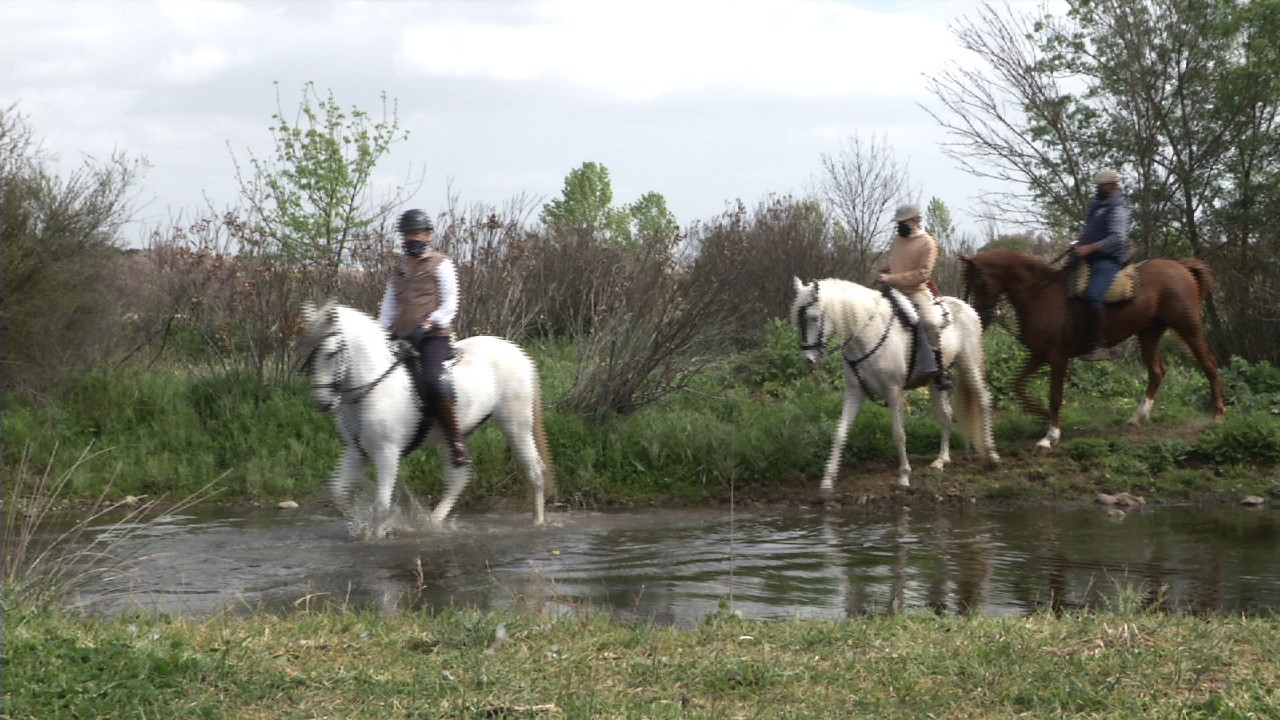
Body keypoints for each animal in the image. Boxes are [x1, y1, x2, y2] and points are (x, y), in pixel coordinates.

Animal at [303, 299, 555, 535]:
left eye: (331, 353)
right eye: (309, 353)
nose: (323, 403)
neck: (372, 387)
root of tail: (517, 352)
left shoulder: (387, 453)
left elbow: (381, 506)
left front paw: (376, 534)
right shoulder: (356, 452)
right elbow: (338, 493)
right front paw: (361, 526)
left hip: (516, 426)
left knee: (534, 470)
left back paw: (538, 522)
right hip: (457, 434)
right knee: (458, 479)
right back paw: (433, 523)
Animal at [788, 274, 998, 486]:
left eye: (813, 317)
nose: (809, 360)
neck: (868, 334)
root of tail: (967, 307)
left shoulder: (893, 391)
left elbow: (899, 434)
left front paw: (904, 476)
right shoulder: (855, 392)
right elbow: (840, 434)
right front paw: (827, 482)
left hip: (970, 366)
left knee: (983, 400)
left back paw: (992, 455)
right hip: (935, 383)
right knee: (945, 415)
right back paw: (941, 460)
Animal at [962, 248, 1218, 448]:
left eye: (980, 282)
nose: (980, 318)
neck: (1041, 295)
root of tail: (1181, 267)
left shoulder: (1057, 358)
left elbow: (1055, 396)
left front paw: (1050, 436)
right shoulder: (1039, 354)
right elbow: (1017, 384)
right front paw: (1041, 414)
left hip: (1188, 327)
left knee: (1208, 365)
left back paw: (1218, 413)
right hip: (1149, 333)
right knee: (1157, 372)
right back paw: (1136, 418)